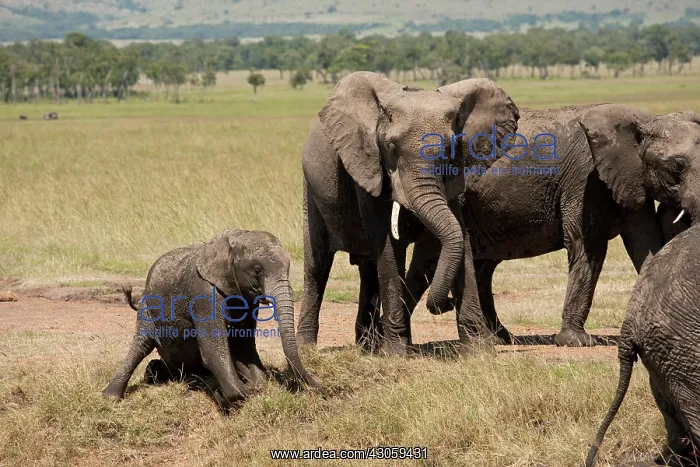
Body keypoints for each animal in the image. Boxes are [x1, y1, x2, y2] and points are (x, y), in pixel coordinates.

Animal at [103, 229, 321, 408]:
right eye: (257, 270)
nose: (321, 388)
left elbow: (242, 347)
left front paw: (253, 384)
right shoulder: (204, 294)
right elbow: (213, 350)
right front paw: (225, 394)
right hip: (148, 305)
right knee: (140, 345)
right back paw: (111, 396)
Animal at [296, 71, 520, 355]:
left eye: (450, 150)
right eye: (391, 148)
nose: (446, 303)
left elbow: (459, 235)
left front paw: (479, 351)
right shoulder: (368, 165)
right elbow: (388, 245)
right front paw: (396, 354)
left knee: (368, 268)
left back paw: (369, 346)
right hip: (310, 190)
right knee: (317, 265)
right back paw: (307, 348)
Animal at [402, 105, 700, 347]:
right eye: (677, 165)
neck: (647, 119)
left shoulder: (631, 178)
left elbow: (646, 245)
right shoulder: (586, 179)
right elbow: (588, 247)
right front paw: (577, 342)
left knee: (468, 268)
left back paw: (501, 338)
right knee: (433, 265)